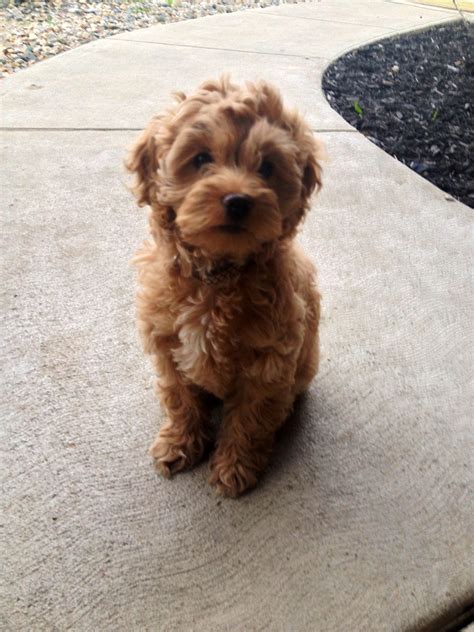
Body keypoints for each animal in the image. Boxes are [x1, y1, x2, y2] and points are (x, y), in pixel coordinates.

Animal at [126, 75, 322, 498]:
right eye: (201, 159)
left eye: (267, 167)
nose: (238, 201)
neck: (217, 276)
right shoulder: (166, 344)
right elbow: (179, 397)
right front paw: (179, 443)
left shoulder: (269, 364)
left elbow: (250, 418)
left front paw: (234, 466)